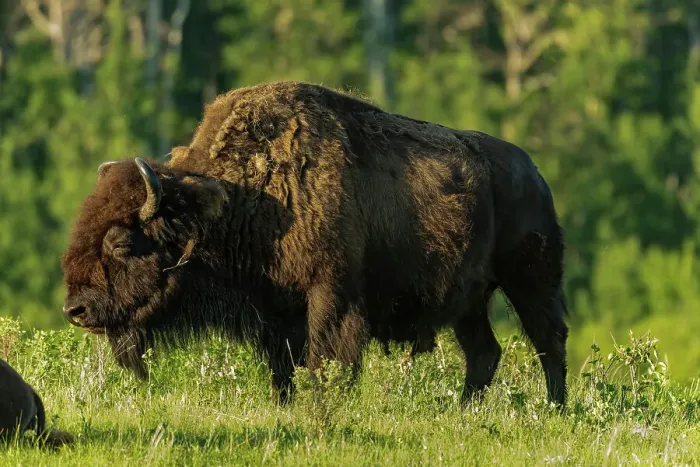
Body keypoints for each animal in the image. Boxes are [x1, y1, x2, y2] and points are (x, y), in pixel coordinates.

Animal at [61, 81, 569, 407]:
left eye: (122, 244)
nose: (75, 310)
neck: (233, 201)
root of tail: (534, 173)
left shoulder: (331, 296)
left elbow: (326, 360)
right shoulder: (275, 312)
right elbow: (283, 367)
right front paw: (286, 405)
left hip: (531, 283)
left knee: (549, 340)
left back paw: (555, 409)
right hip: (470, 301)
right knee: (484, 353)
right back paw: (465, 411)